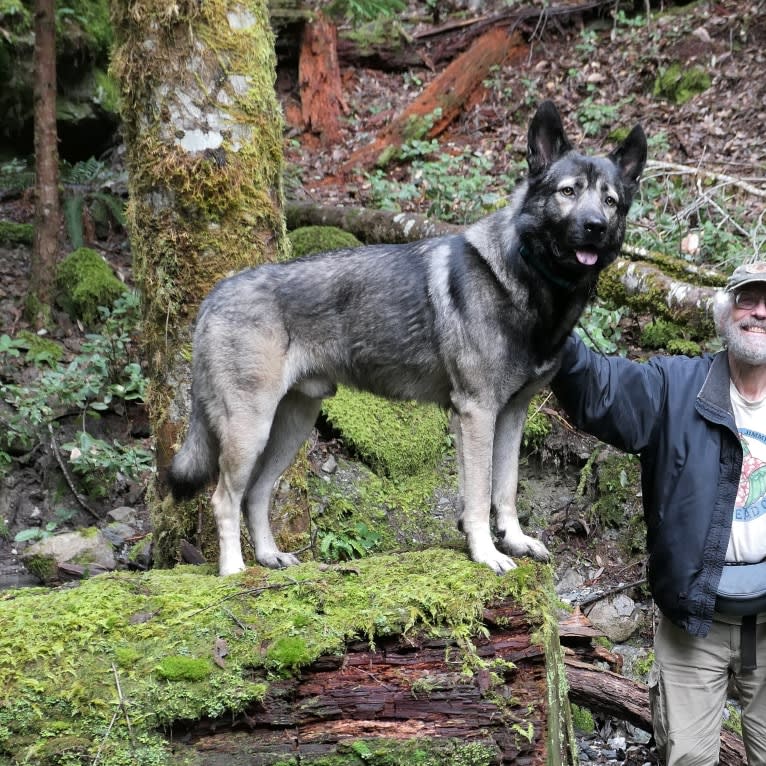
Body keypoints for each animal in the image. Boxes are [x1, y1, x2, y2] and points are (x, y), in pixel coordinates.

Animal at [168, 103, 648, 584]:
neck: (530, 283)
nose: (595, 227)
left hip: (292, 425)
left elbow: (507, 488)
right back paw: (233, 571)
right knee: (225, 498)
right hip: (251, 428)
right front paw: (486, 554)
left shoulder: (512, 415)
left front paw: (514, 540)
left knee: (257, 493)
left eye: (610, 201)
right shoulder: (476, 414)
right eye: (568, 192)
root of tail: (215, 295)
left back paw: (270, 558)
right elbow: (479, 496)